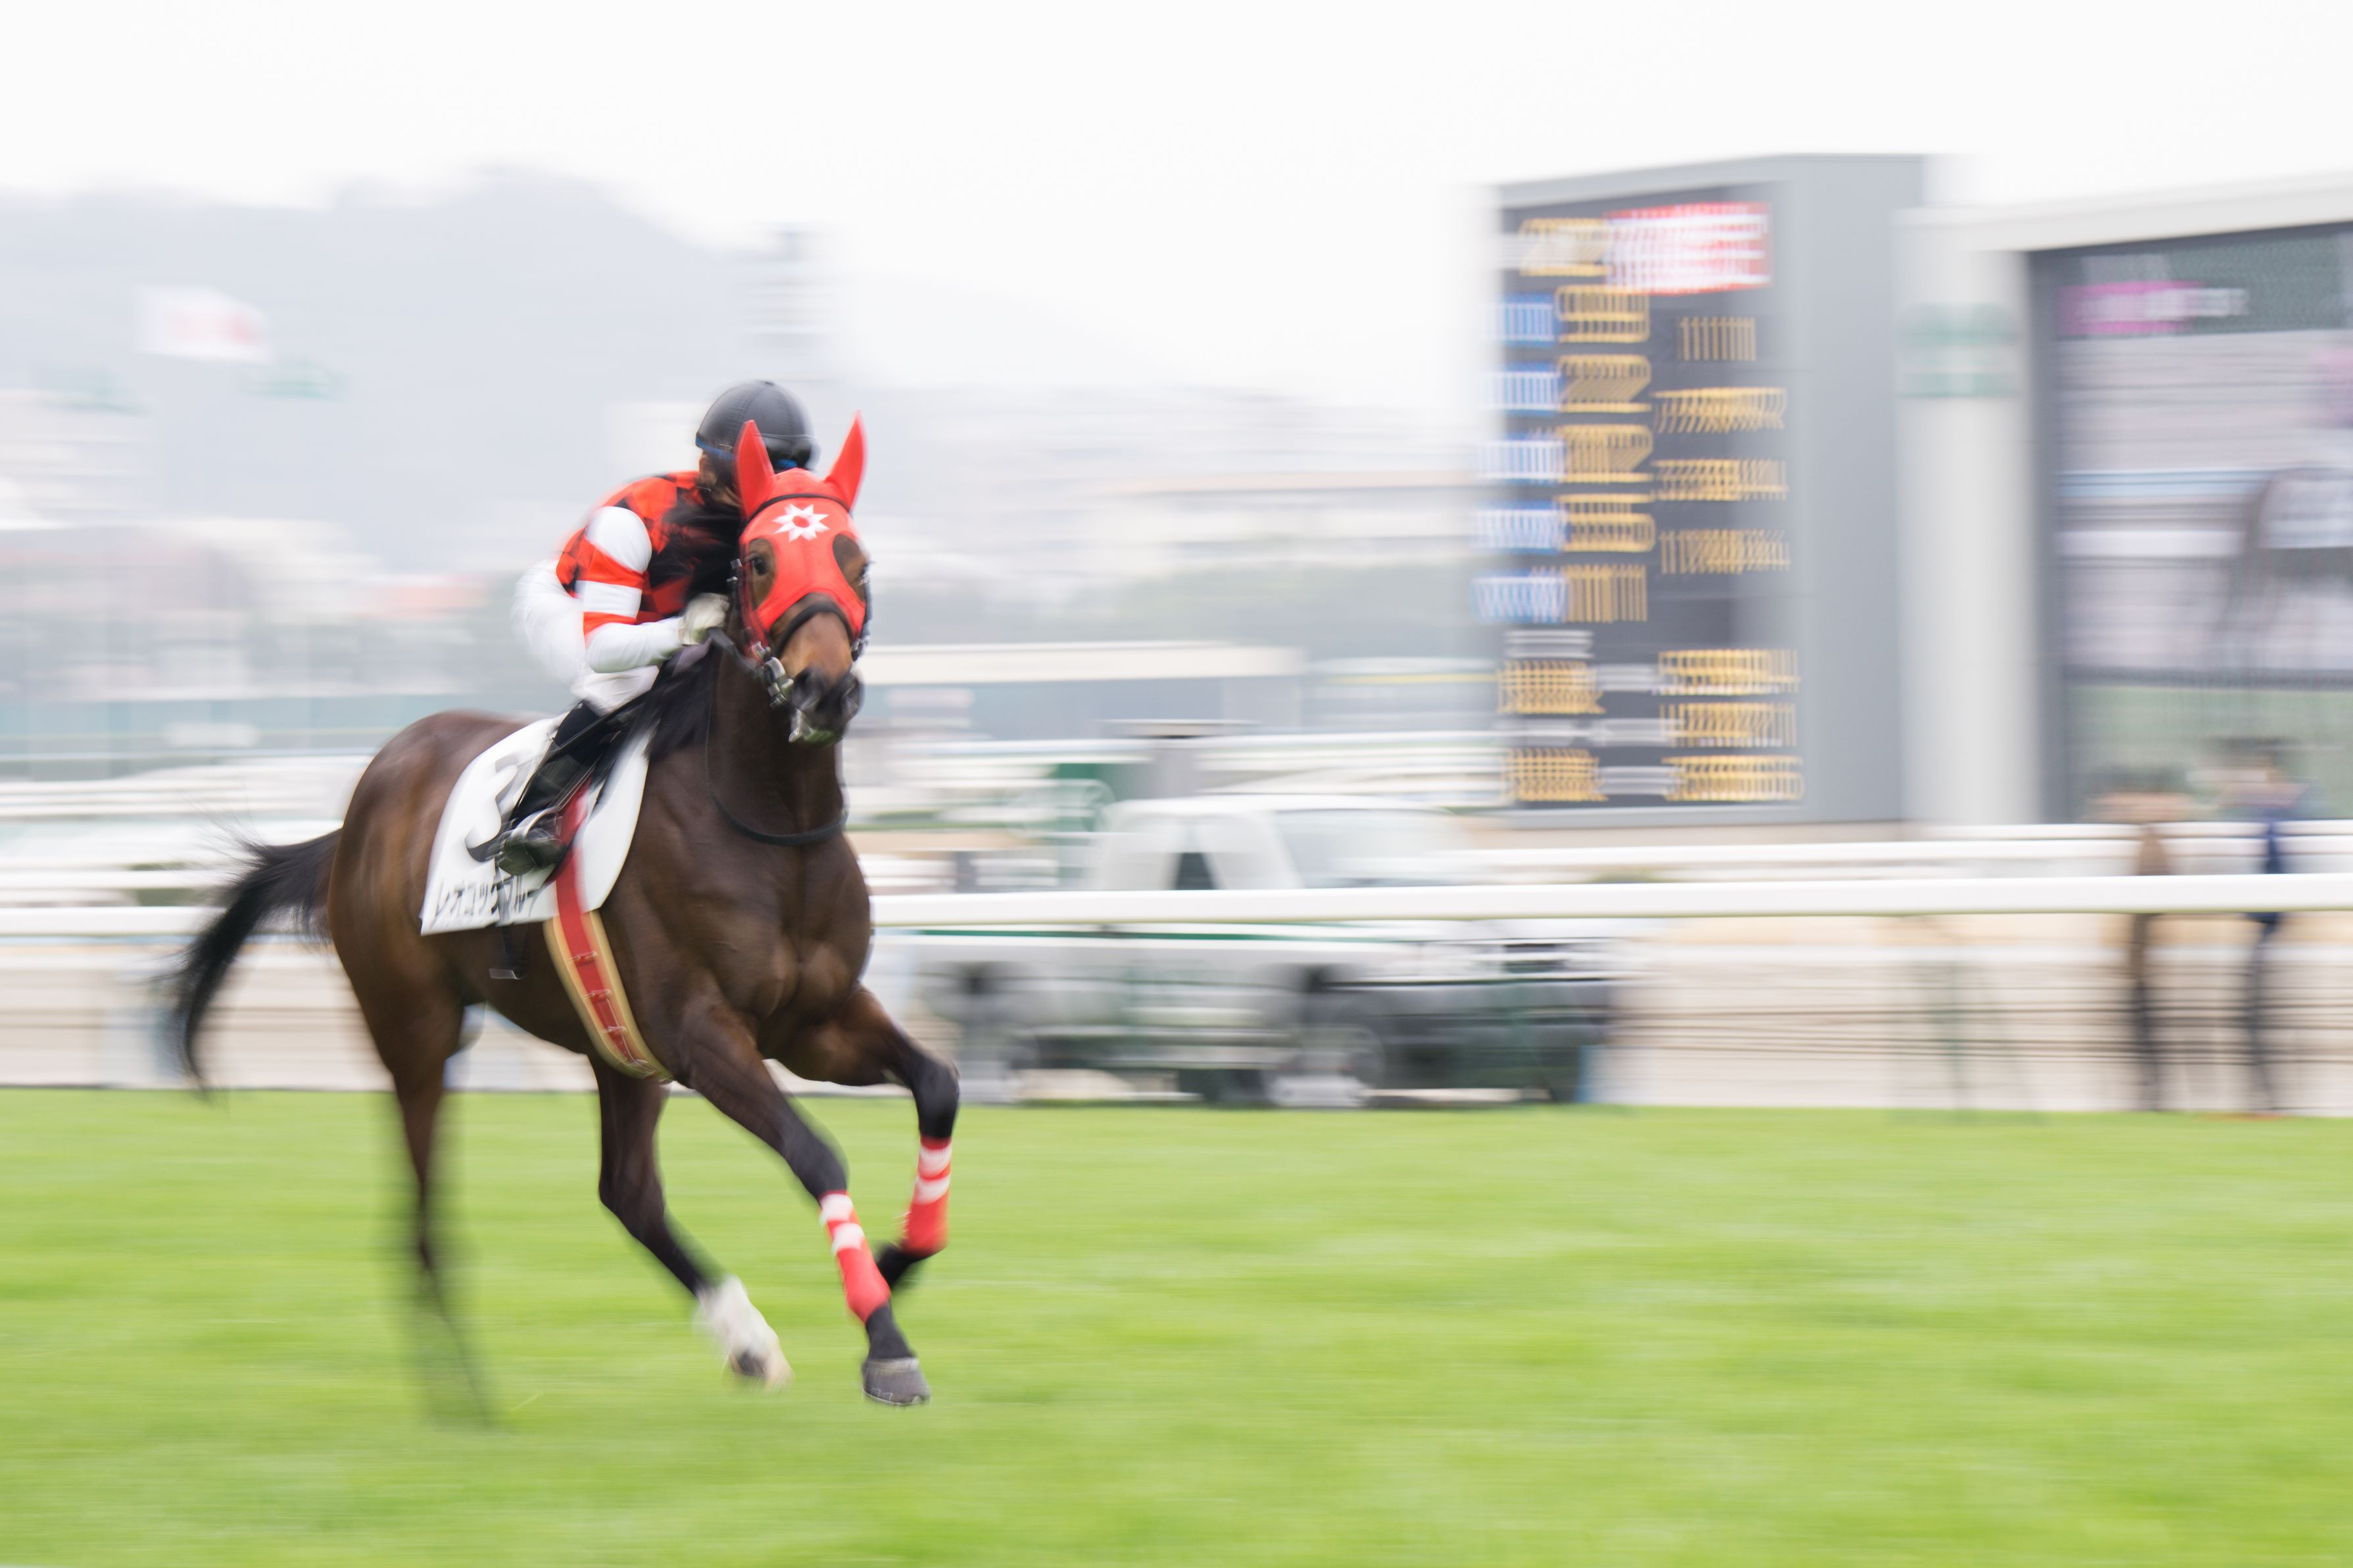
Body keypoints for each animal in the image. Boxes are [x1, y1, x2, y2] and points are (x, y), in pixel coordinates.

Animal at [167, 424, 957, 1407]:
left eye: (856, 557)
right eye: (758, 559)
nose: (824, 692)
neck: (770, 824)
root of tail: (358, 814)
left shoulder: (815, 1021)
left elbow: (938, 1087)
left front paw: (895, 1260)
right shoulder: (703, 1034)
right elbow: (816, 1156)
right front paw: (885, 1343)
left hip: (614, 1041)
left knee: (627, 1191)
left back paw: (744, 1342)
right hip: (417, 1030)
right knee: (422, 1215)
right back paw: (463, 1394)